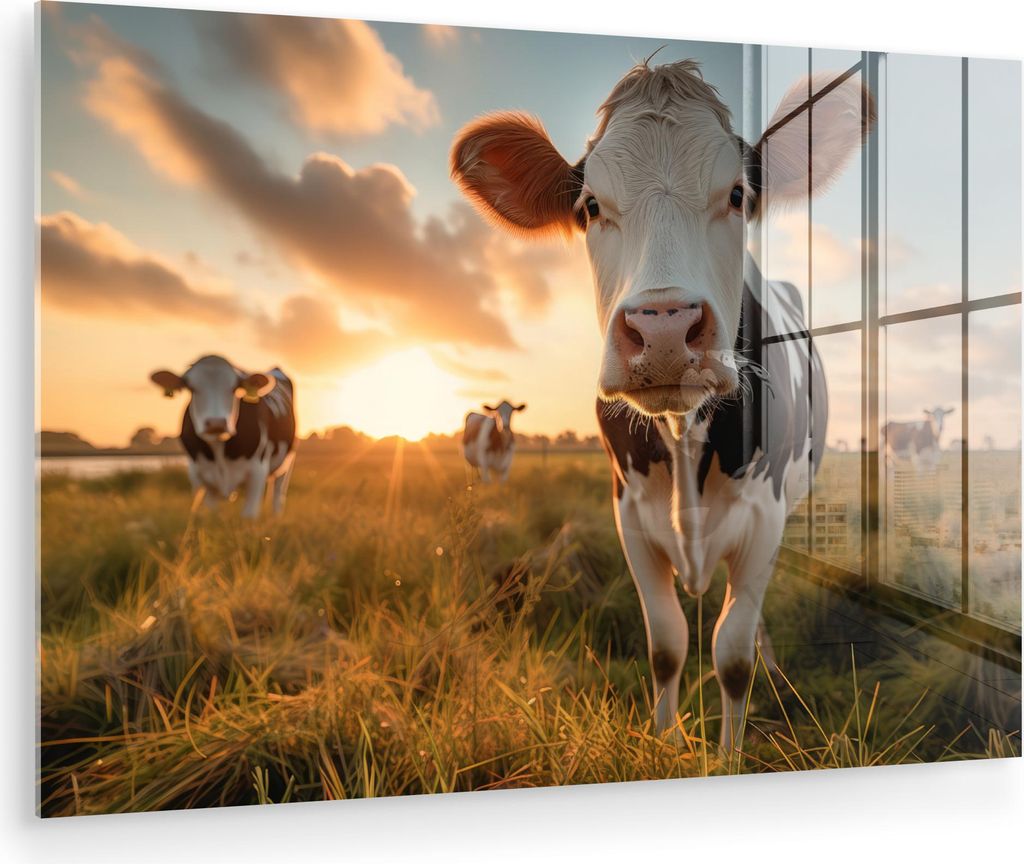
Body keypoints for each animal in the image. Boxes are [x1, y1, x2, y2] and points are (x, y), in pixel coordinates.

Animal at [150, 355, 297, 519]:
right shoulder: (199, 476)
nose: (216, 423)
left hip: (287, 462)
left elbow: (249, 516)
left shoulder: (257, 471)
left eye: (235, 388)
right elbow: (212, 514)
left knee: (278, 492)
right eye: (191, 388)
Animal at [451, 58, 873, 747]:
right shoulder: (630, 518)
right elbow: (668, 644)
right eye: (590, 206)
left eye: (739, 194)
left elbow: (731, 654)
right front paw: (667, 741)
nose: (666, 329)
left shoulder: (766, 518)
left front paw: (727, 751)